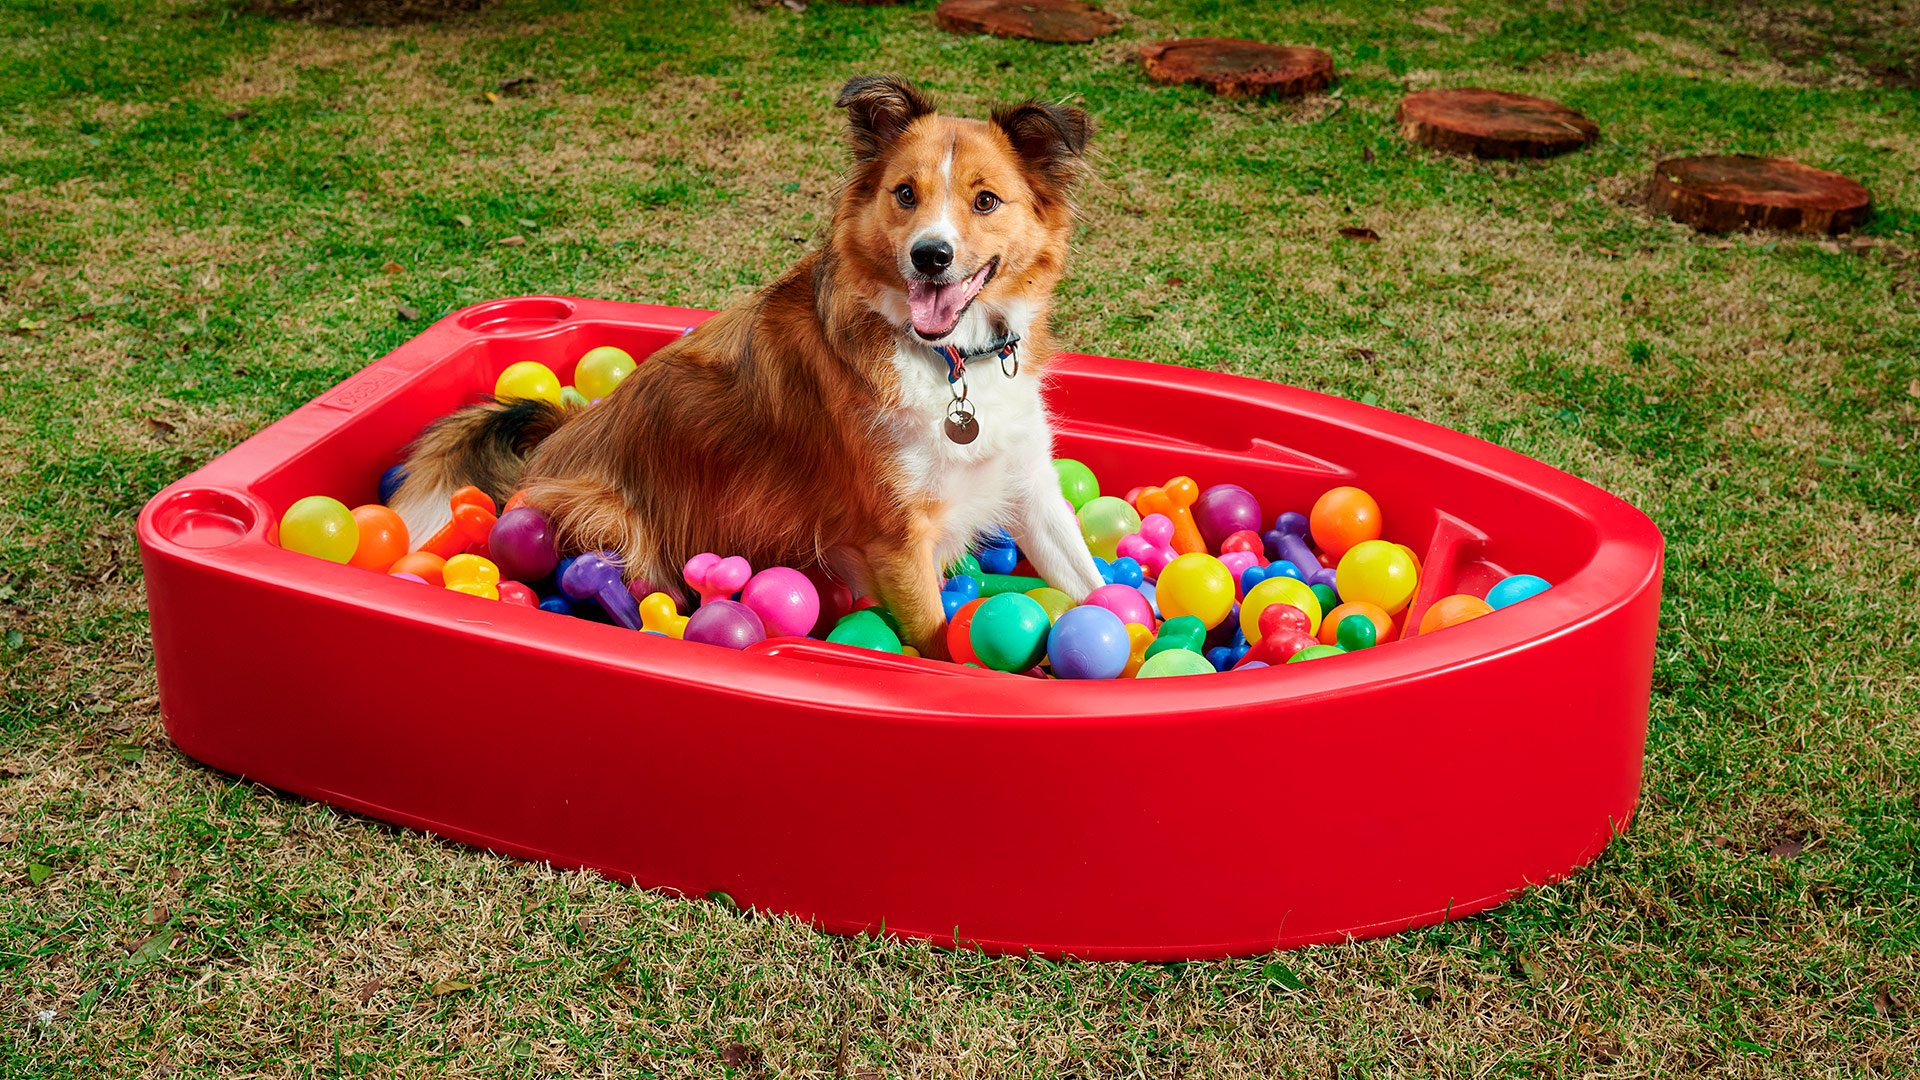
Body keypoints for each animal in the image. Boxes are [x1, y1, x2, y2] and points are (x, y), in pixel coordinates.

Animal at [389, 77, 1105, 645]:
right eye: (905, 193)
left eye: (986, 201)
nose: (930, 255)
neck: (950, 361)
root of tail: (553, 438)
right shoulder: (898, 538)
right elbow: (934, 642)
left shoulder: (1030, 485)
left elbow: (1096, 590)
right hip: (608, 521)